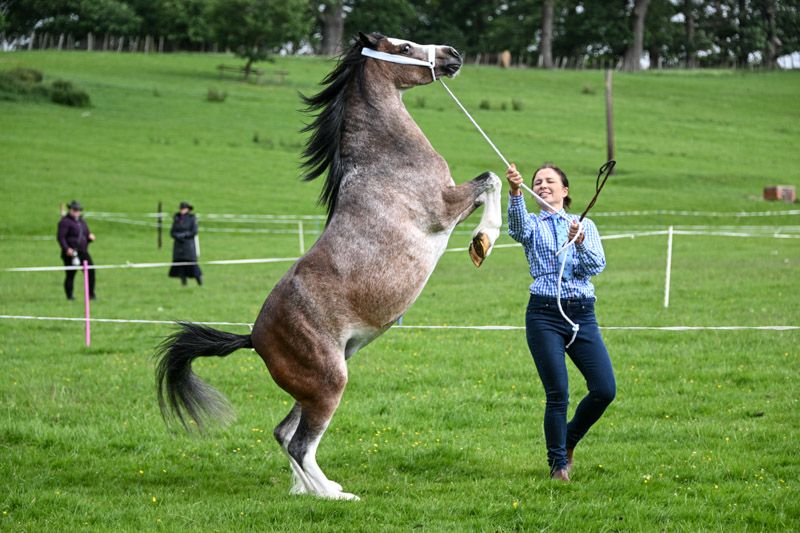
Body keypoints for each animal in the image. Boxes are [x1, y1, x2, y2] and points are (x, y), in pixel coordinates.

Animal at [155, 32, 502, 501]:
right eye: (404, 47)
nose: (453, 55)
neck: (384, 160)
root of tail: (253, 337)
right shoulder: (443, 208)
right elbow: (491, 180)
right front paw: (483, 241)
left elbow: (491, 180)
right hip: (329, 383)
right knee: (299, 443)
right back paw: (334, 495)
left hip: (310, 387)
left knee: (283, 433)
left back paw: (307, 490)